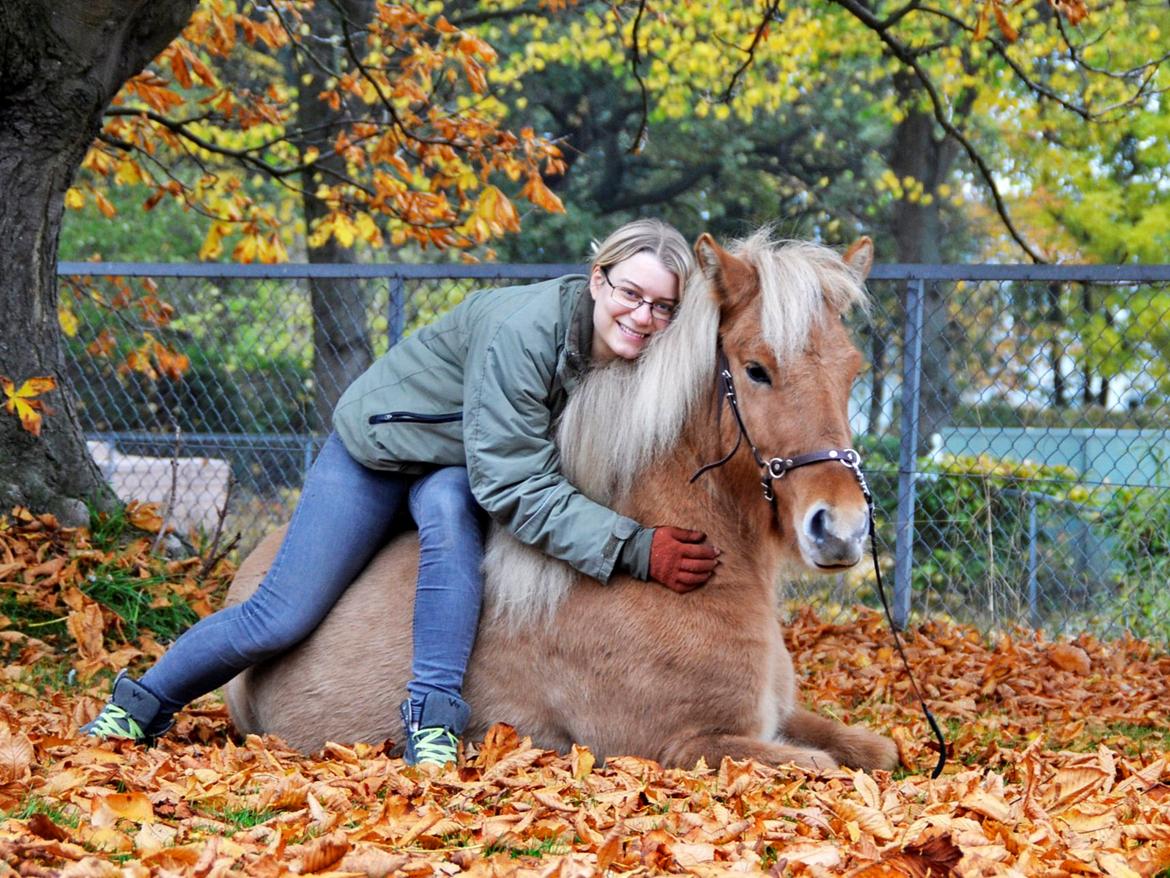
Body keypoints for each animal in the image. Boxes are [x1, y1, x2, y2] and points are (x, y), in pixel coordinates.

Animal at [223, 230, 898, 772]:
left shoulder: (778, 719)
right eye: (756, 369)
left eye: (852, 372)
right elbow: (824, 768)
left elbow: (878, 749)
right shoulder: (687, 744)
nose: (840, 529)